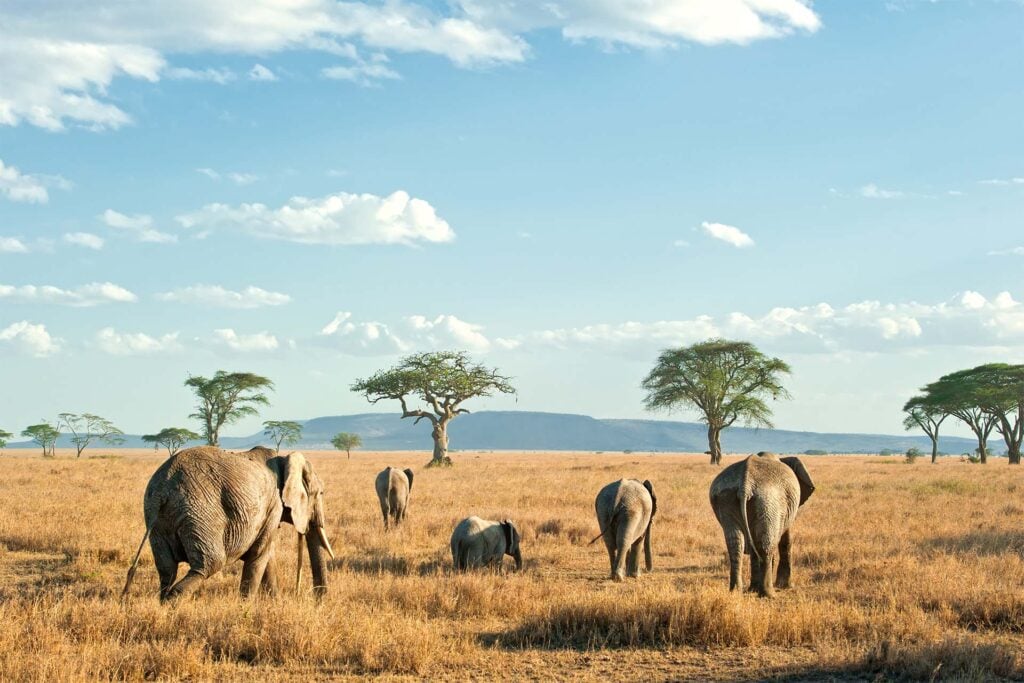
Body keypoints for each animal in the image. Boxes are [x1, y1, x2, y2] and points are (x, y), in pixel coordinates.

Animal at [122, 446, 335, 602]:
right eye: (320, 493)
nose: (318, 601)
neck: (284, 459)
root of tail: (163, 489)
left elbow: (267, 556)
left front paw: (274, 604)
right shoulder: (273, 505)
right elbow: (259, 555)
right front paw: (245, 608)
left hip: (156, 518)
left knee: (167, 569)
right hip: (200, 512)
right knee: (209, 564)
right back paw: (172, 605)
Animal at [709, 452, 815, 598]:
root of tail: (745, 485)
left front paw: (753, 589)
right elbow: (786, 539)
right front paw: (786, 586)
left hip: (726, 497)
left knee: (735, 543)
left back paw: (735, 592)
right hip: (768, 501)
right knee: (765, 544)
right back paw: (769, 594)